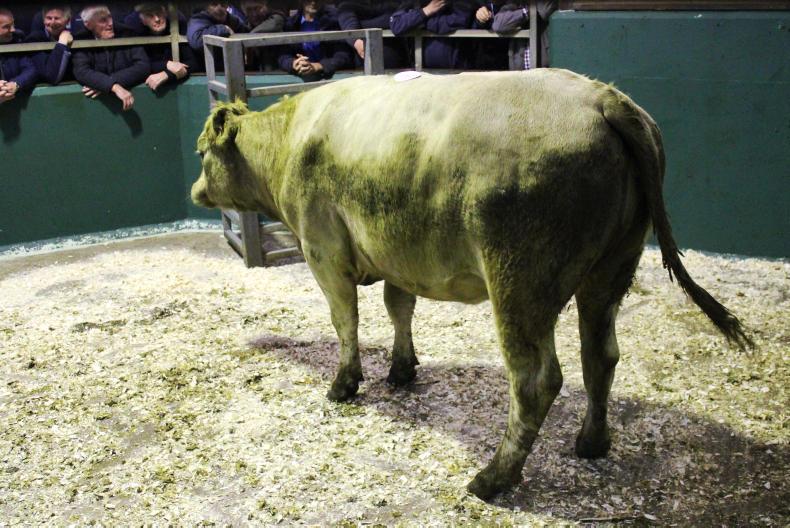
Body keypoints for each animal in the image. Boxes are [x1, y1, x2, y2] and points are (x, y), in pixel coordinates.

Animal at [191, 69, 751, 500]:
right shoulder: (396, 252)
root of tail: (602, 96)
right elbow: (399, 307)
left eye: (200, 154)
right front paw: (401, 369)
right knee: (601, 356)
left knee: (536, 380)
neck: (291, 138)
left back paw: (493, 479)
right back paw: (592, 443)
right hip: (611, 269)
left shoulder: (323, 251)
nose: (195, 189)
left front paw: (344, 384)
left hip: (520, 283)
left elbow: (345, 320)